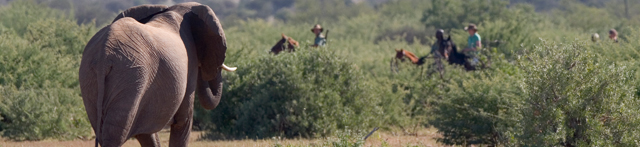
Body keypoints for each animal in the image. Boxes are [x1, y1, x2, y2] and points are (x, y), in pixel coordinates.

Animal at [79, 2, 236, 147]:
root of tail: (104, 53)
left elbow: (146, 132)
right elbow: (183, 121)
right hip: (131, 76)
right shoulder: (189, 60)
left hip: (89, 76)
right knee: (115, 132)